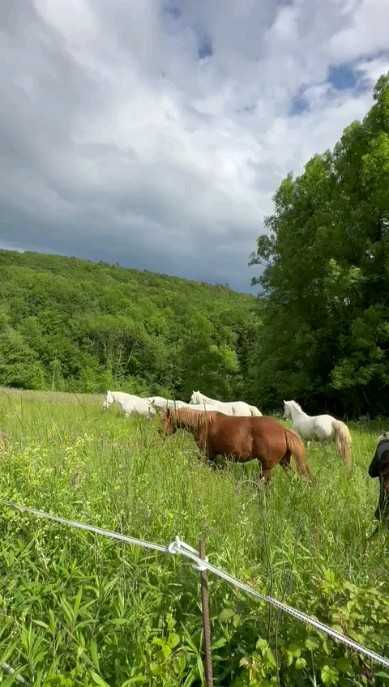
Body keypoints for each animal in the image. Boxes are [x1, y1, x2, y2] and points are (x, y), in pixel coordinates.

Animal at [161, 408, 312, 484]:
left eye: (164, 419)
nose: (160, 431)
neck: (202, 423)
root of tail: (283, 430)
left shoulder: (207, 454)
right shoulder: (215, 456)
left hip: (266, 467)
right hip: (283, 462)